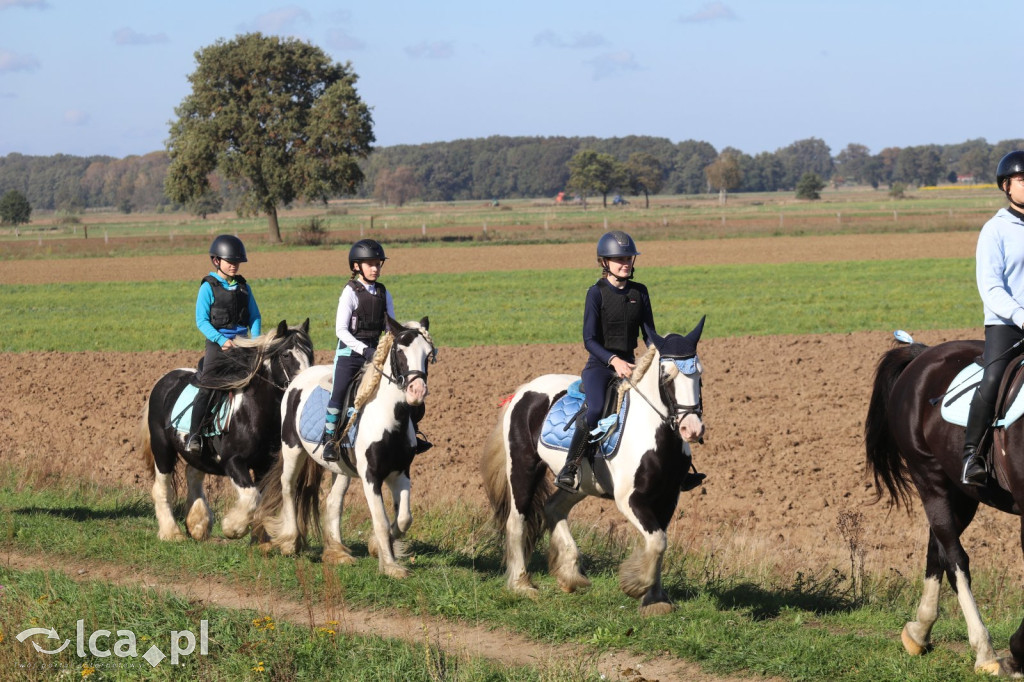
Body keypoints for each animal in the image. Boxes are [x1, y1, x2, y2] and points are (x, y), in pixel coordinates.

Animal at [138, 319, 311, 540]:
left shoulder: (264, 465)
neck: (252, 411)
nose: (305, 384)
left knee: (193, 474)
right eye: (286, 355)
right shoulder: (233, 461)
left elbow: (261, 501)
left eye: (310, 353)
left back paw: (198, 524)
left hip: (198, 454)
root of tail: (164, 380)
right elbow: (251, 496)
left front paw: (259, 539)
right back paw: (171, 532)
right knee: (161, 489)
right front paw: (232, 527)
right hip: (162, 448)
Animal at [256, 315, 436, 577]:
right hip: (293, 449)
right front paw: (391, 566)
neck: (390, 419)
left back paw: (336, 552)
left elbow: (404, 519)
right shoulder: (371, 476)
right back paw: (290, 541)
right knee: (287, 487)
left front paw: (377, 547)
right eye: (400, 351)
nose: (417, 392)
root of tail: (299, 378)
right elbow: (381, 521)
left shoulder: (401, 472)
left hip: (340, 467)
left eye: (428, 354)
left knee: (333, 502)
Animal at [479, 315, 704, 614]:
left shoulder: (667, 498)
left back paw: (570, 574)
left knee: (553, 508)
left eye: (699, 374)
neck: (654, 433)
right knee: (517, 520)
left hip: (580, 483)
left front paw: (655, 600)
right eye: (666, 375)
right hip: (523, 468)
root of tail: (522, 392)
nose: (692, 429)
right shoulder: (630, 500)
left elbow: (659, 543)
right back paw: (521, 584)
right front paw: (636, 585)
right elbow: (657, 543)